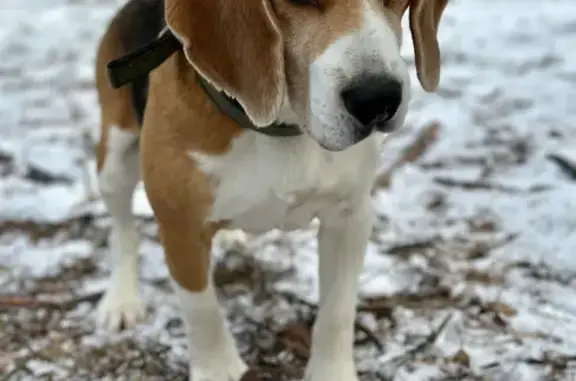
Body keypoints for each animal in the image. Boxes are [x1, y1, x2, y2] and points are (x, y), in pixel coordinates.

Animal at [94, 0, 448, 378]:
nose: (377, 99)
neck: (281, 127)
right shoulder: (180, 227)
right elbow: (202, 309)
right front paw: (218, 369)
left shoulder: (350, 217)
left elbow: (337, 309)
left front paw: (331, 371)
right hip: (114, 165)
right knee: (124, 233)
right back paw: (121, 300)